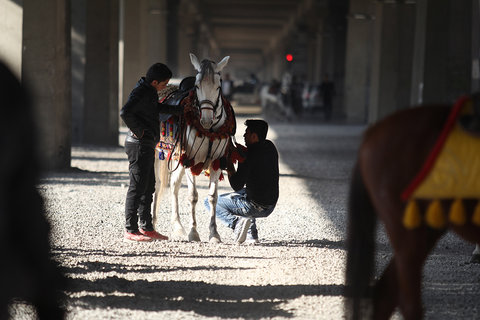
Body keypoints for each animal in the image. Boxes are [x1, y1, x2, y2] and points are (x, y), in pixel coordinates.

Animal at [153, 53, 233, 242]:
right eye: (197, 86)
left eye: (218, 86)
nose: (206, 120)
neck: (210, 131)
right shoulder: (191, 161)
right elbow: (193, 196)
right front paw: (193, 232)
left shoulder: (216, 162)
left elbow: (213, 198)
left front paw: (214, 233)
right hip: (158, 154)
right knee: (157, 186)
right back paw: (153, 223)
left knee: (174, 185)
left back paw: (177, 226)